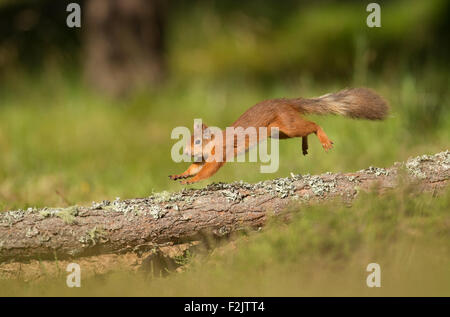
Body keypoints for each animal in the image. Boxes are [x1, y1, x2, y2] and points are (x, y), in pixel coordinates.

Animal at [171, 87, 388, 184]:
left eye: (198, 141)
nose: (186, 152)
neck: (213, 143)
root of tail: (285, 102)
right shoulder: (202, 158)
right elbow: (194, 167)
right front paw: (180, 174)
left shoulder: (219, 153)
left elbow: (207, 170)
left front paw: (191, 180)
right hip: (280, 133)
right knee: (305, 129)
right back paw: (305, 145)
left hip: (288, 125)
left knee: (313, 125)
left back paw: (323, 139)